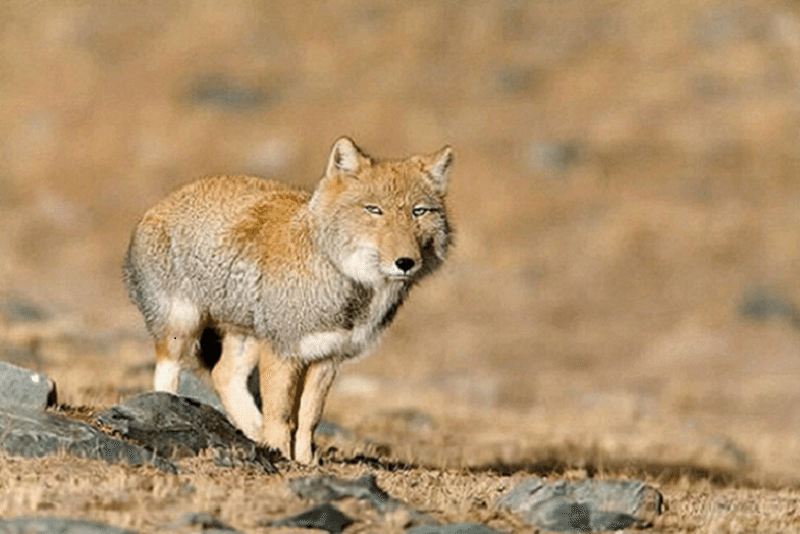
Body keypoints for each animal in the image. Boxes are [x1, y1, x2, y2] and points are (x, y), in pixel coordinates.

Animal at [122, 137, 453, 463]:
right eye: (374, 210)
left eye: (419, 211)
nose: (405, 263)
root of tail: (161, 203)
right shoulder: (282, 351)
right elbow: (281, 416)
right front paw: (280, 455)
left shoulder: (326, 357)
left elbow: (308, 419)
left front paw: (304, 461)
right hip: (182, 330)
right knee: (168, 377)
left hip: (246, 338)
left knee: (223, 375)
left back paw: (252, 431)